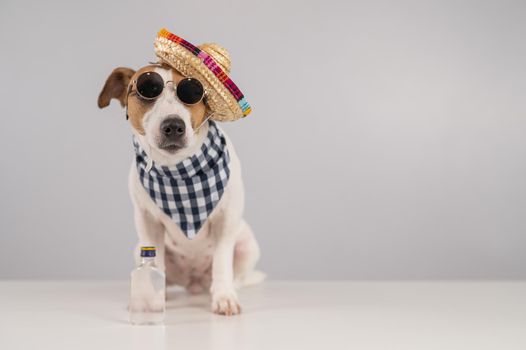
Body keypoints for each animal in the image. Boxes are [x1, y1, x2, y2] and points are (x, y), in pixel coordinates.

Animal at [98, 64, 262, 316]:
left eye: (193, 92)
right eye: (147, 90)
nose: (173, 126)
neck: (178, 170)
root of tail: (193, 282)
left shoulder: (227, 219)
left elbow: (222, 261)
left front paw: (224, 298)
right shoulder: (147, 222)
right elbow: (156, 259)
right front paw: (149, 298)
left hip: (247, 245)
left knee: (236, 275)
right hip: (138, 249)